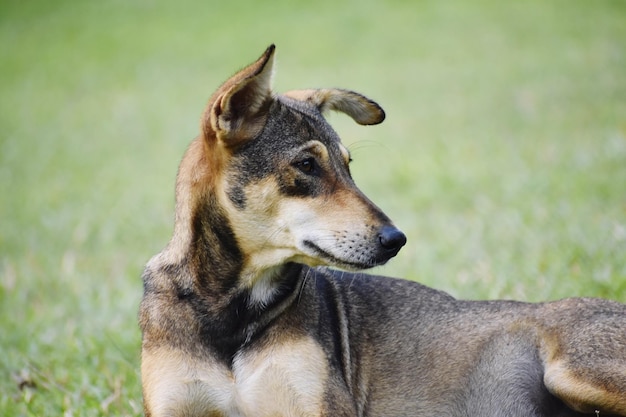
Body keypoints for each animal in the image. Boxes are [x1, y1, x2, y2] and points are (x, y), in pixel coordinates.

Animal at [140, 45, 624, 416]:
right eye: (306, 164)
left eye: (349, 166)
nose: (397, 240)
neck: (234, 311)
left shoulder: (320, 406)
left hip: (574, 369)